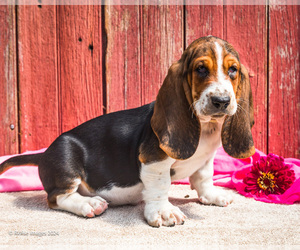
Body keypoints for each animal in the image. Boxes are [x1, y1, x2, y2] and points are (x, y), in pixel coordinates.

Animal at [0, 36, 255, 228]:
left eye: (233, 70)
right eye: (200, 69)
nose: (221, 101)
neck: (205, 126)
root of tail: (43, 154)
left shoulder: (206, 159)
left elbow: (203, 177)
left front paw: (212, 196)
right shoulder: (154, 160)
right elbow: (160, 186)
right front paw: (164, 212)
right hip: (66, 160)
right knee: (57, 197)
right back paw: (89, 204)